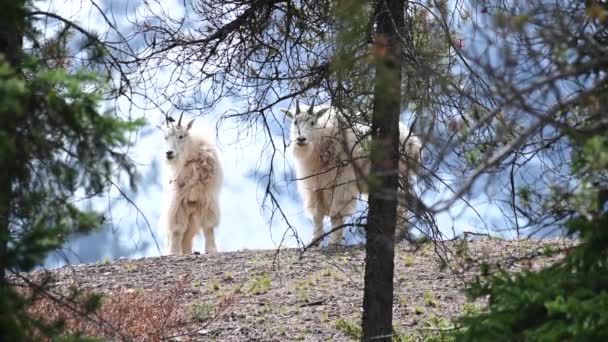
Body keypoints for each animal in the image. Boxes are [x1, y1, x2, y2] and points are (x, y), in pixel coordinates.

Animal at [157, 113, 223, 255]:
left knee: (188, 235)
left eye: (181, 136)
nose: (169, 153)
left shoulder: (207, 198)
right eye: (165, 137)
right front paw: (173, 252)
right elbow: (176, 228)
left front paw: (211, 250)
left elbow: (208, 226)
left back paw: (187, 252)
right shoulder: (178, 200)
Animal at [282, 101, 420, 246]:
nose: (301, 139)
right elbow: (317, 214)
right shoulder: (316, 186)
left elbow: (336, 214)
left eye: (313, 122)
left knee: (401, 206)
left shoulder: (340, 183)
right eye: (295, 122)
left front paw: (334, 242)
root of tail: (413, 141)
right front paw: (315, 240)